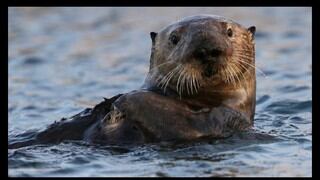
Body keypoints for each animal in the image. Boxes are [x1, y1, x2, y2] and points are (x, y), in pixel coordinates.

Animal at [8, 14, 256, 148]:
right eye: (175, 38)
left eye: (229, 32)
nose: (207, 50)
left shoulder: (226, 119)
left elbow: (186, 123)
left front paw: (122, 100)